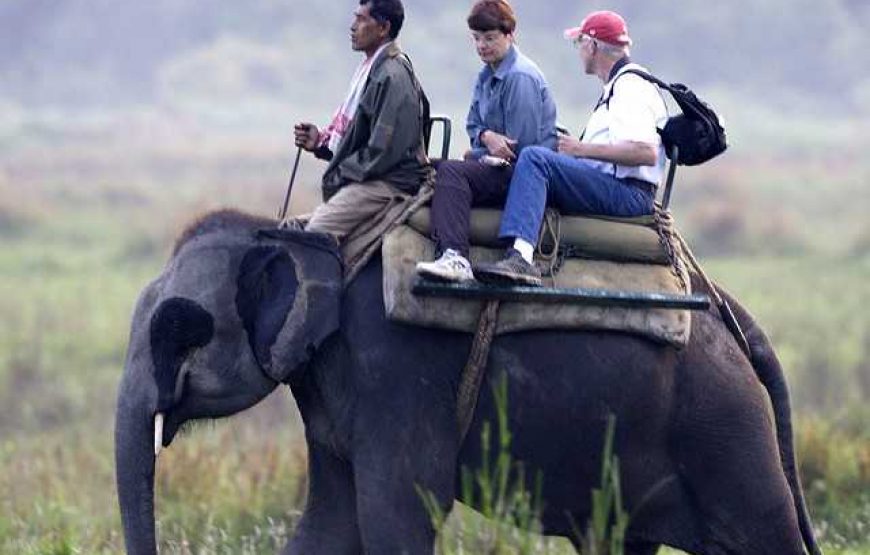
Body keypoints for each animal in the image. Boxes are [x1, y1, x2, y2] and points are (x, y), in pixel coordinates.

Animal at [112, 210, 820, 555]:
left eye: (177, 328)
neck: (310, 238)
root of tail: (729, 311)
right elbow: (332, 525)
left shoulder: (396, 371)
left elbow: (399, 514)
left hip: (722, 424)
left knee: (765, 535)